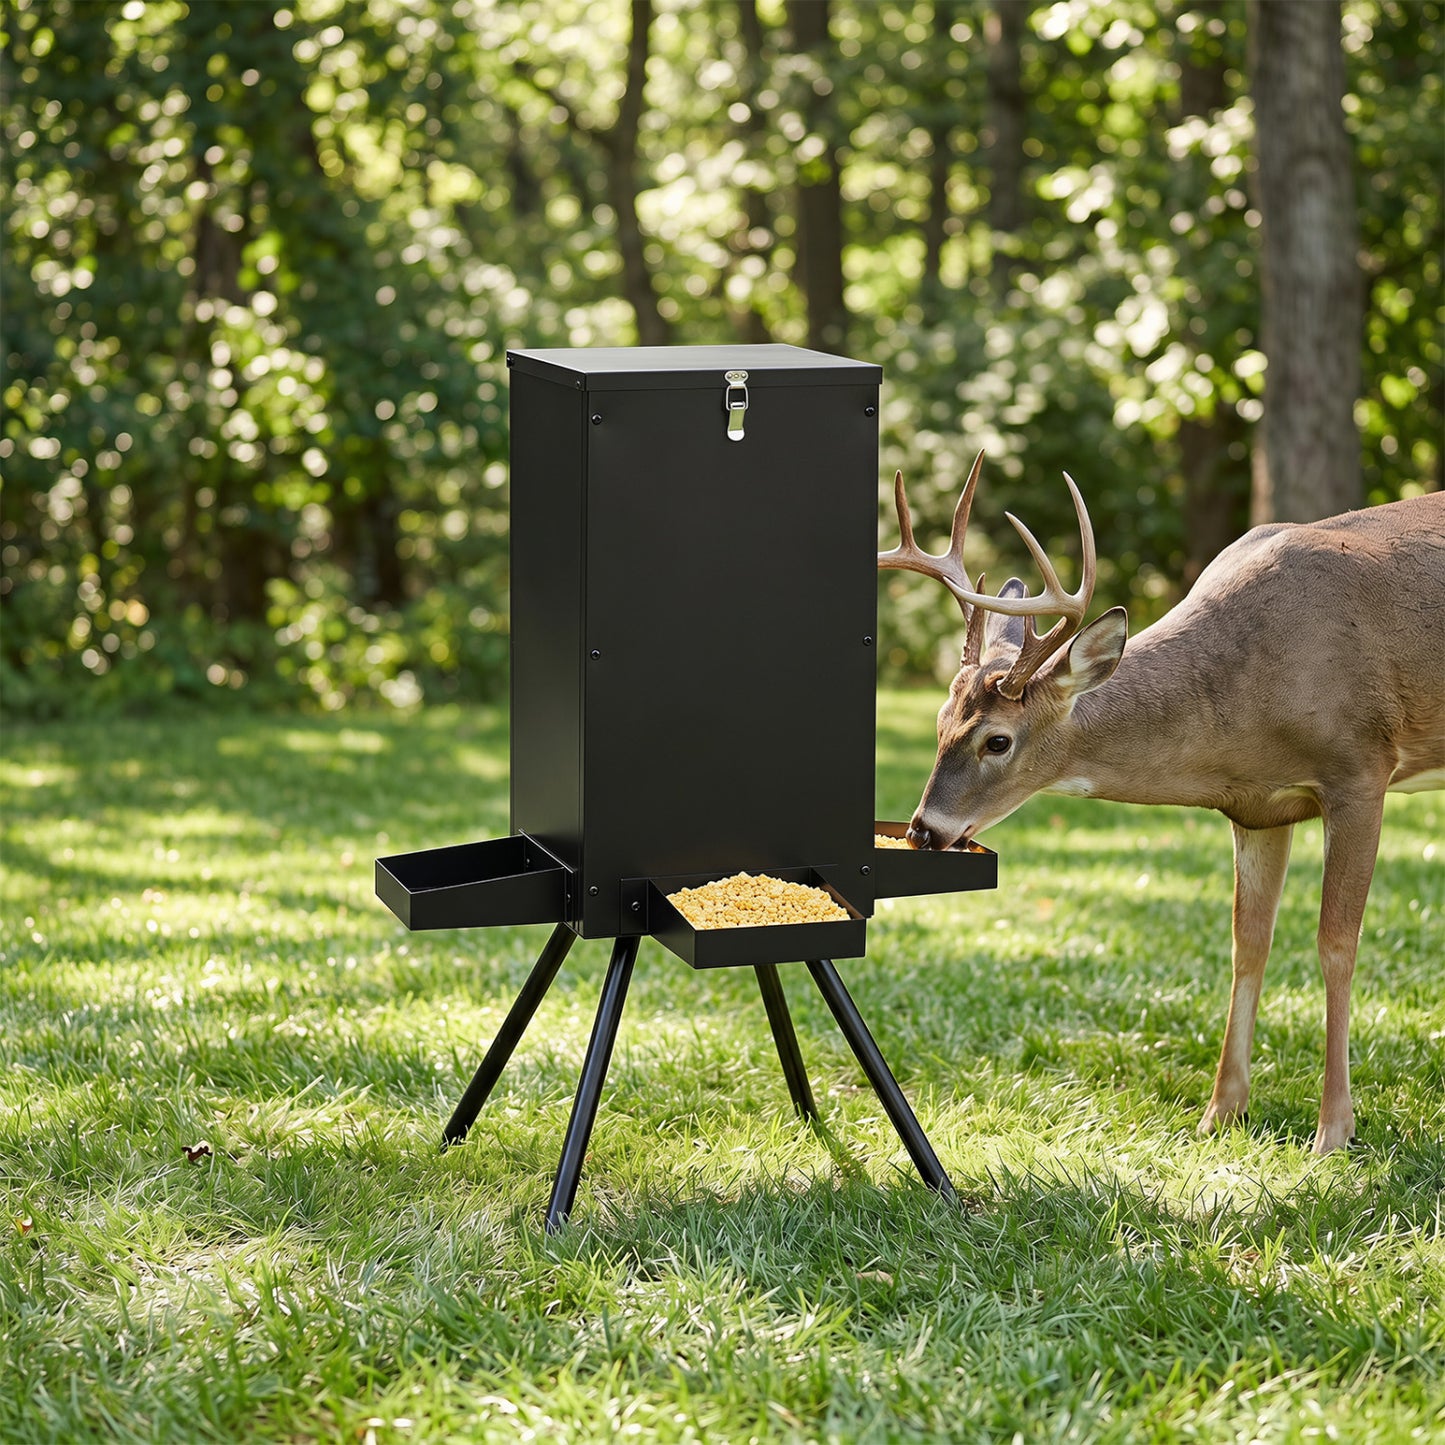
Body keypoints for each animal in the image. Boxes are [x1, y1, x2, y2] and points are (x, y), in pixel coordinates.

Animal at [879, 452, 1445, 1154]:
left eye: (998, 740)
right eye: (938, 722)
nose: (923, 830)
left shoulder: (1361, 771)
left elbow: (1336, 944)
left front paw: (1333, 1131)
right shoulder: (1259, 808)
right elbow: (1247, 942)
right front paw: (1220, 1113)